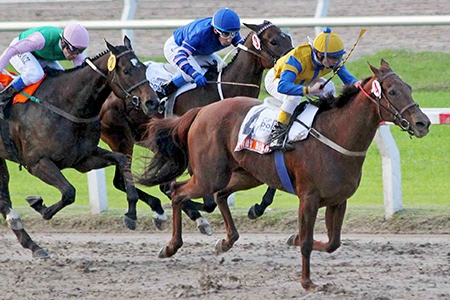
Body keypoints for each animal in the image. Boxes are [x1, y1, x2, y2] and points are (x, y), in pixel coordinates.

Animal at [0, 35, 159, 258]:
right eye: (127, 70)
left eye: (144, 68)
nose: (153, 103)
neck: (67, 105)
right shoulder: (37, 163)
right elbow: (69, 191)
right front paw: (40, 206)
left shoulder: (83, 159)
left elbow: (121, 160)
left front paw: (131, 213)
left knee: (3, 199)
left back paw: (33, 245)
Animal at [100, 20, 294, 232]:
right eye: (274, 41)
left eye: (288, 37)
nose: (293, 61)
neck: (223, 89)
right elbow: (208, 200)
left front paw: (258, 207)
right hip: (122, 138)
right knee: (122, 179)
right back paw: (142, 213)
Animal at [139, 60, 430, 290]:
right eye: (392, 91)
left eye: (409, 88)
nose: (423, 123)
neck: (337, 134)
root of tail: (202, 110)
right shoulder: (308, 198)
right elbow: (308, 243)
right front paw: (307, 282)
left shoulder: (338, 199)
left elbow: (332, 242)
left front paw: (293, 238)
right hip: (209, 174)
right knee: (178, 191)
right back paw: (171, 246)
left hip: (247, 174)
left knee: (220, 194)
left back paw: (226, 241)